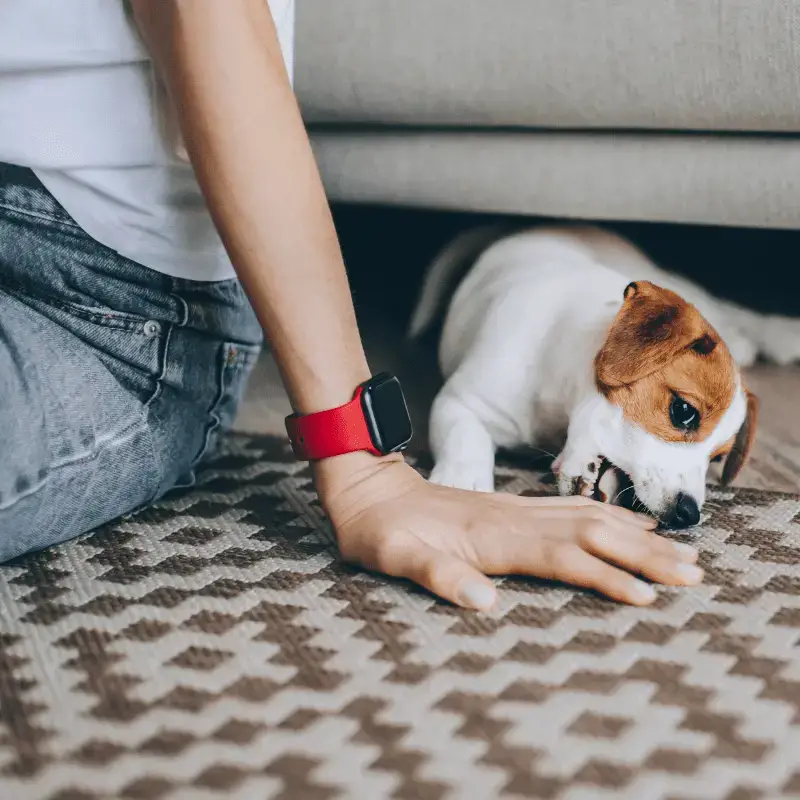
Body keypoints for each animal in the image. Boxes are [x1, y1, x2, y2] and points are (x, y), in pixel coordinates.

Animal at [410, 225, 792, 528]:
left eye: (716, 459)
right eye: (684, 411)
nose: (688, 514)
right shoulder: (462, 401)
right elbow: (464, 438)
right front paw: (462, 483)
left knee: (727, 310)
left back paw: (774, 335)